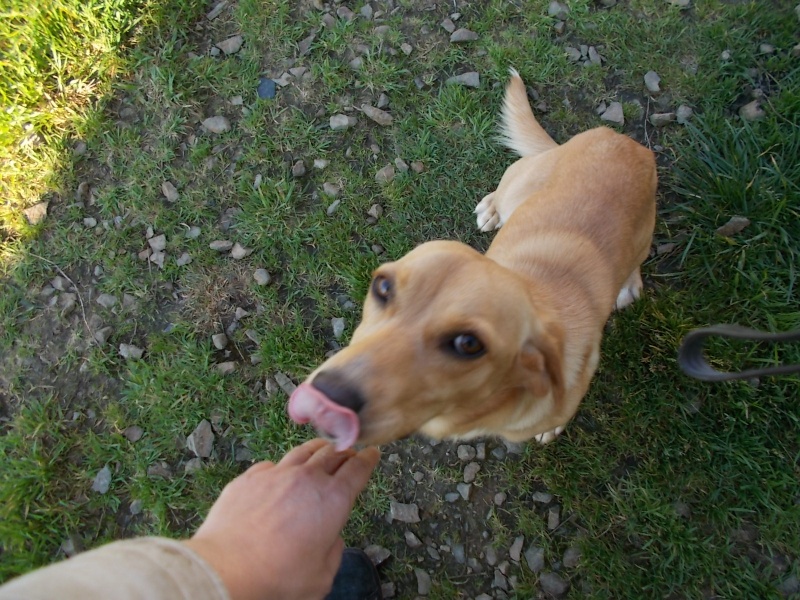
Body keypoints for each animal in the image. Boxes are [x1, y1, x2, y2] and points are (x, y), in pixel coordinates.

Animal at [288, 68, 656, 448]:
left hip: (643, 234)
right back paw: (492, 208)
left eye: (468, 345)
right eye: (383, 287)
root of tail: (621, 141)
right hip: (519, 188)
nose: (326, 398)